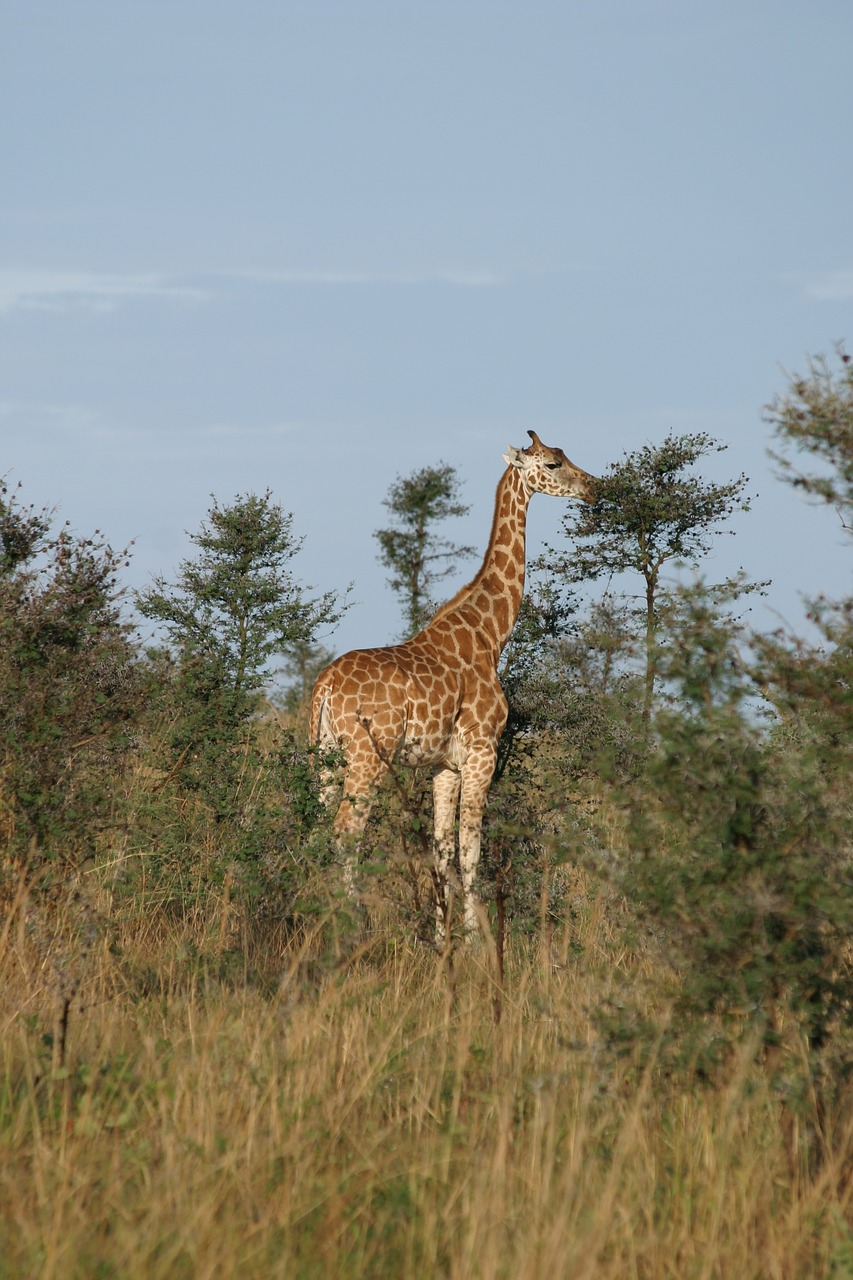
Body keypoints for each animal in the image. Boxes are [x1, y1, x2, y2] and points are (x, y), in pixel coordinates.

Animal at [308, 432, 594, 942]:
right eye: (552, 464)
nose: (593, 487)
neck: (490, 635)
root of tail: (325, 685)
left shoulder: (445, 766)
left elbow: (442, 851)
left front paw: (443, 942)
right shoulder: (482, 752)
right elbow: (470, 848)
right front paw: (478, 942)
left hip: (325, 754)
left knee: (317, 830)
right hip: (366, 756)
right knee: (346, 833)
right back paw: (353, 929)